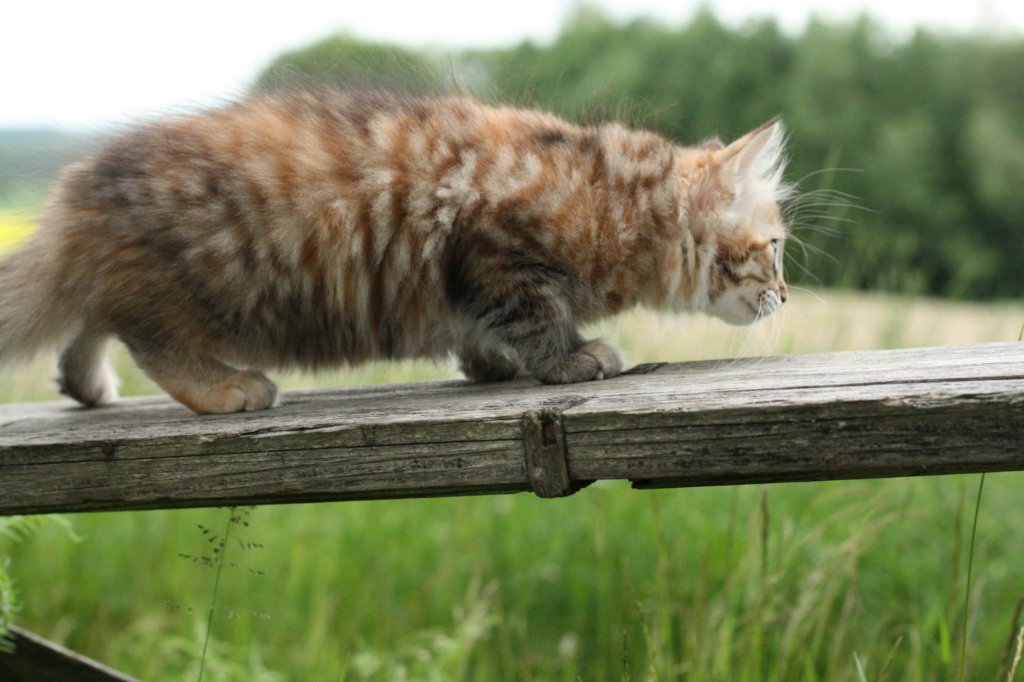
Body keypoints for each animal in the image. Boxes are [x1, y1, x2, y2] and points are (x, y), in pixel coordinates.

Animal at [0, 90, 790, 414]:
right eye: (777, 250)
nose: (786, 296)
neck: (617, 199)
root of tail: (76, 192)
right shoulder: (494, 249)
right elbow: (536, 317)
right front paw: (573, 358)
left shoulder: (475, 281)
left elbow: (486, 334)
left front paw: (491, 365)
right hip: (199, 285)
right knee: (148, 339)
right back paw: (228, 389)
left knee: (89, 326)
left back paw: (86, 387)